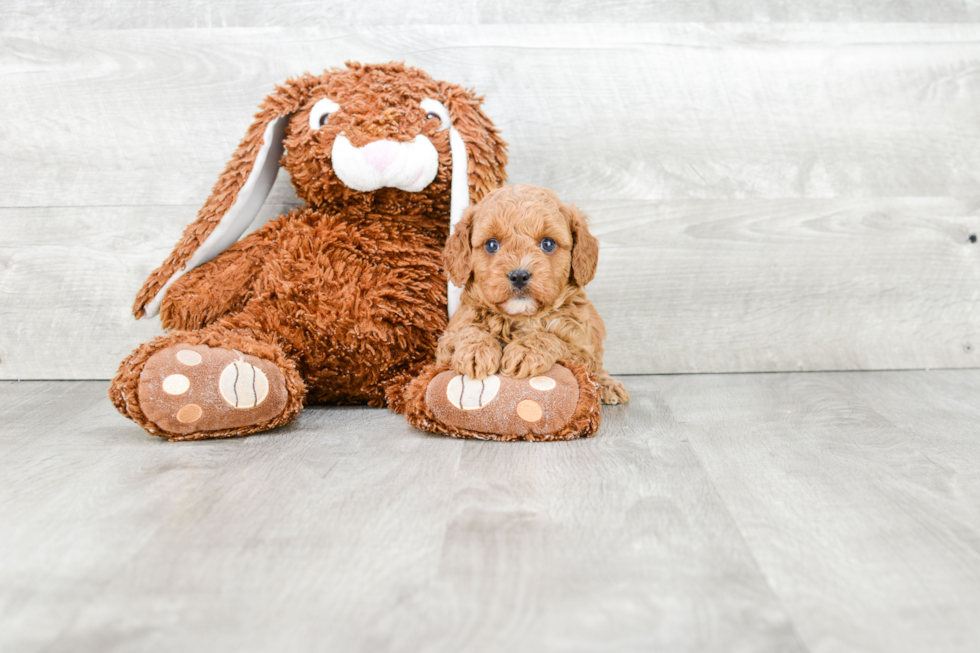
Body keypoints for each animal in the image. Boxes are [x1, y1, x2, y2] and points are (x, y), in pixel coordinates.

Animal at [436, 183, 628, 404]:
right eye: (491, 244)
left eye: (548, 243)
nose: (519, 275)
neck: (523, 317)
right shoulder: (446, 343)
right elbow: (468, 332)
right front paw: (476, 350)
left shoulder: (583, 349)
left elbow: (552, 339)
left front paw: (525, 351)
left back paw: (608, 385)